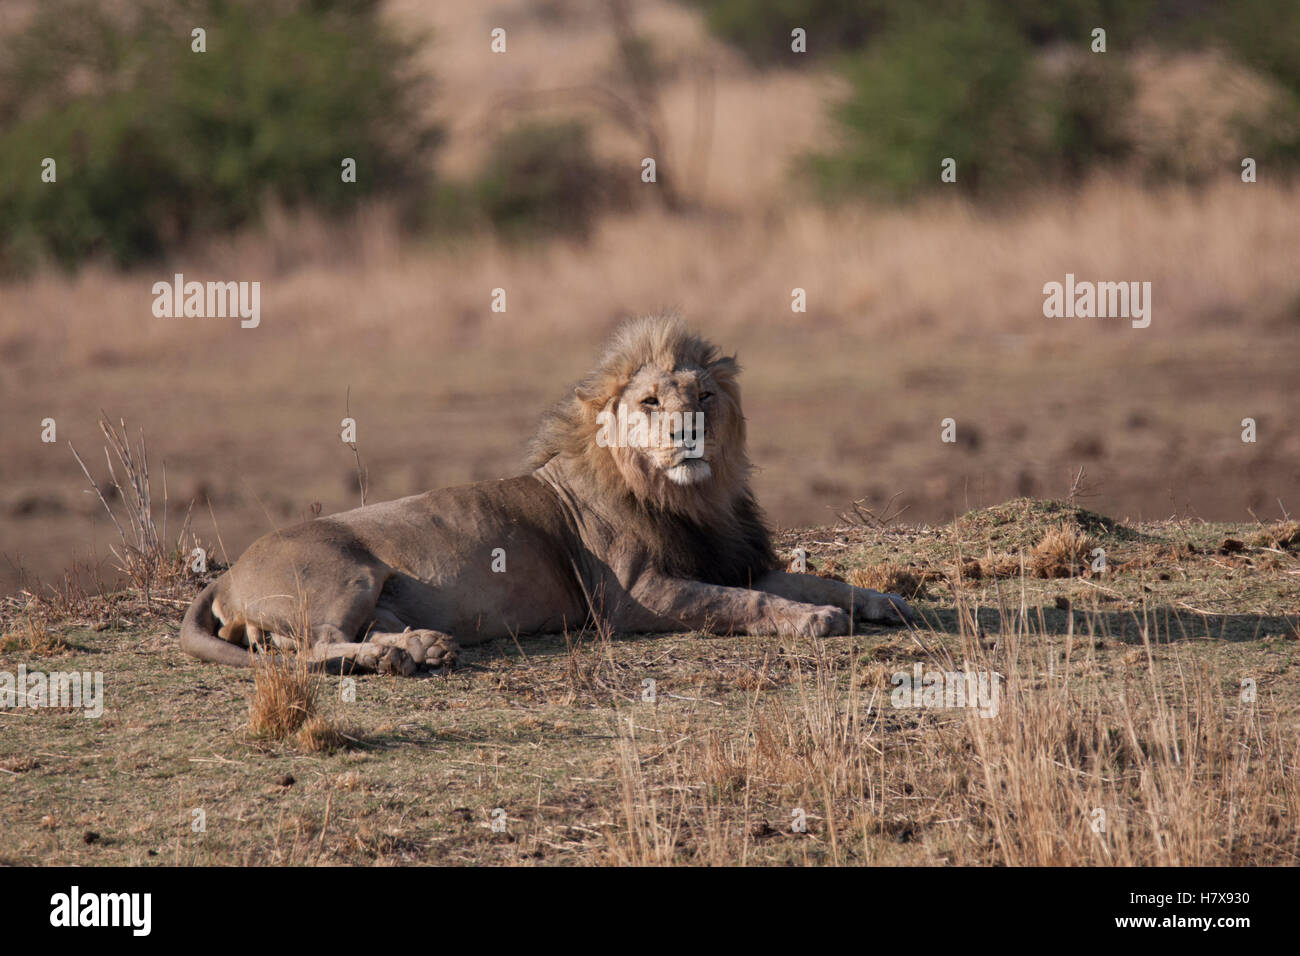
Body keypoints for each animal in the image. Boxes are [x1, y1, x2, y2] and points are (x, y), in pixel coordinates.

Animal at [180, 314, 915, 671]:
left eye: (704, 395)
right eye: (651, 402)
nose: (689, 432)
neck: (692, 498)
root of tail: (228, 574)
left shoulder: (731, 558)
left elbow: (811, 578)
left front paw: (885, 601)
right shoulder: (637, 597)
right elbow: (745, 603)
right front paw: (813, 622)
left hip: (377, 594)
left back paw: (422, 648)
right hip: (346, 575)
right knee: (309, 648)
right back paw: (396, 658)